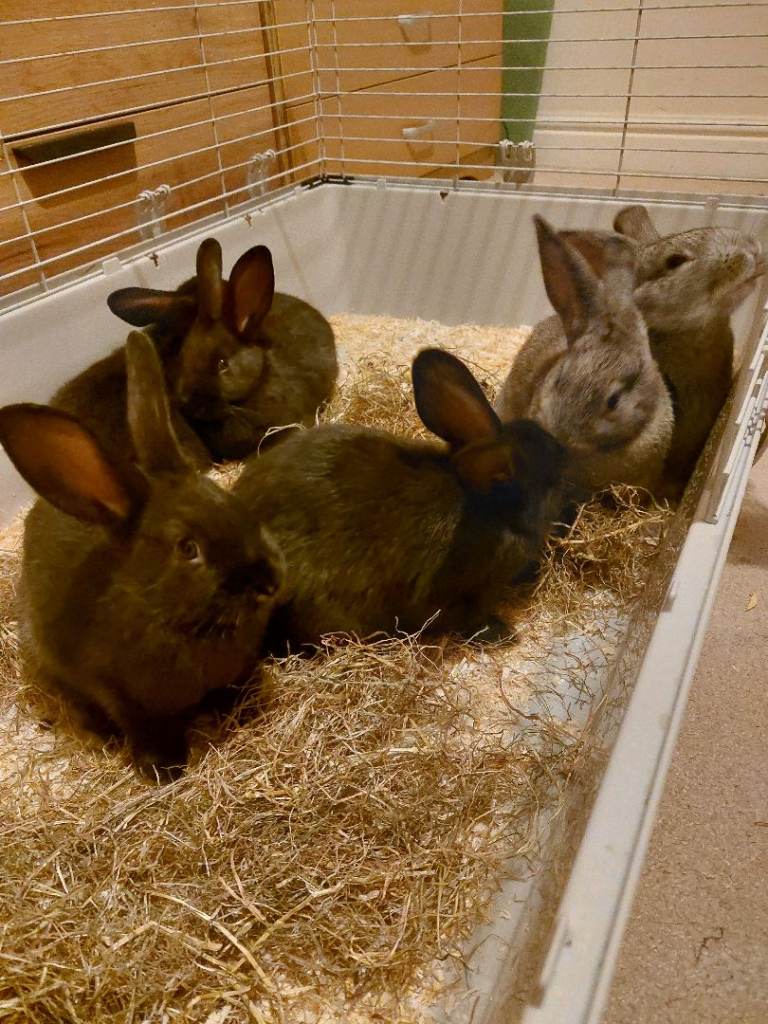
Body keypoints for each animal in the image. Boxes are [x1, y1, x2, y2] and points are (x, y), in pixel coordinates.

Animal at [0, 330, 284, 780]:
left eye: (227, 500)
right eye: (188, 548)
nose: (269, 581)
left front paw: (239, 714)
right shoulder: (127, 700)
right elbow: (151, 733)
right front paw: (165, 772)